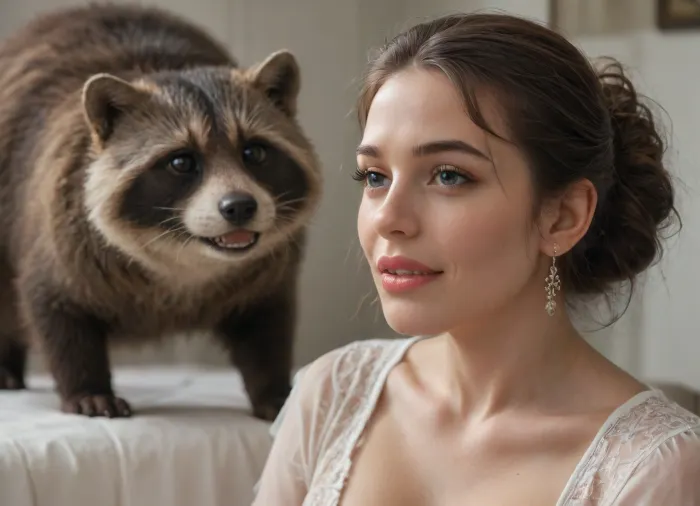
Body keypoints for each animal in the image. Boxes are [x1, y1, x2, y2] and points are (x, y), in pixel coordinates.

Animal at [0, 4, 322, 420]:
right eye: (182, 162)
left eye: (254, 152)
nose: (239, 206)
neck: (187, 261)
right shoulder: (58, 230)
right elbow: (57, 310)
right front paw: (88, 385)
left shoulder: (270, 271)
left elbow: (267, 323)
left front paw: (273, 390)